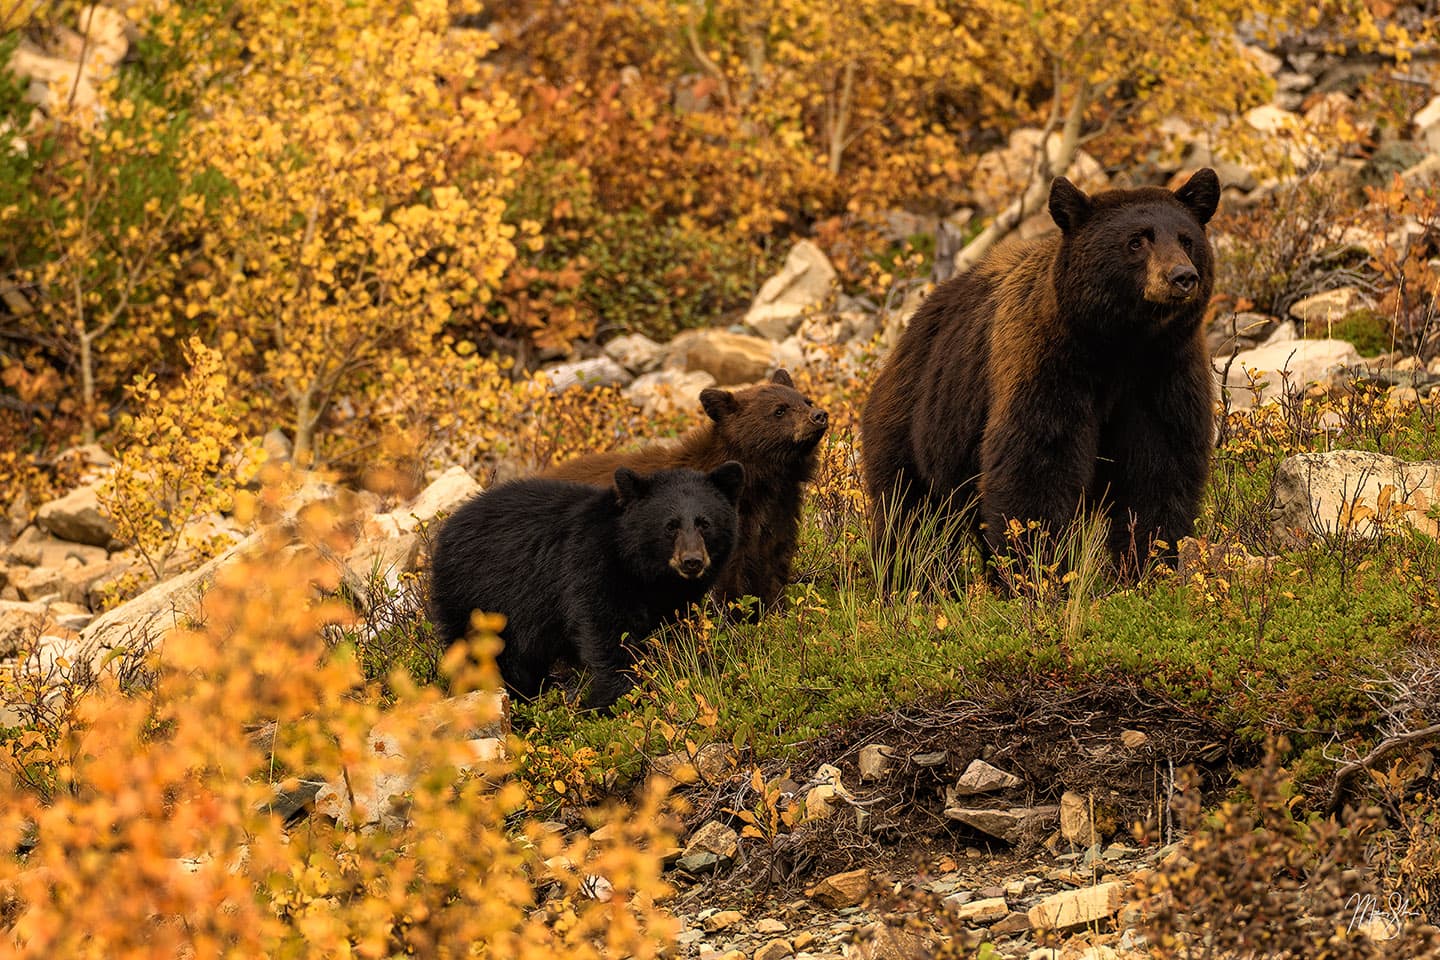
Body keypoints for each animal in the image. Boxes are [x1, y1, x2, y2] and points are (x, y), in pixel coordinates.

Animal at [858, 169, 1221, 581]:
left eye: (1186, 239)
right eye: (1136, 241)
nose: (1182, 276)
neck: (1120, 345)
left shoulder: (1164, 373)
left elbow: (1160, 466)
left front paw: (1149, 564)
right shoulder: (1047, 364)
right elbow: (1037, 463)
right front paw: (1038, 570)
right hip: (918, 422)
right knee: (913, 518)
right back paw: (910, 580)